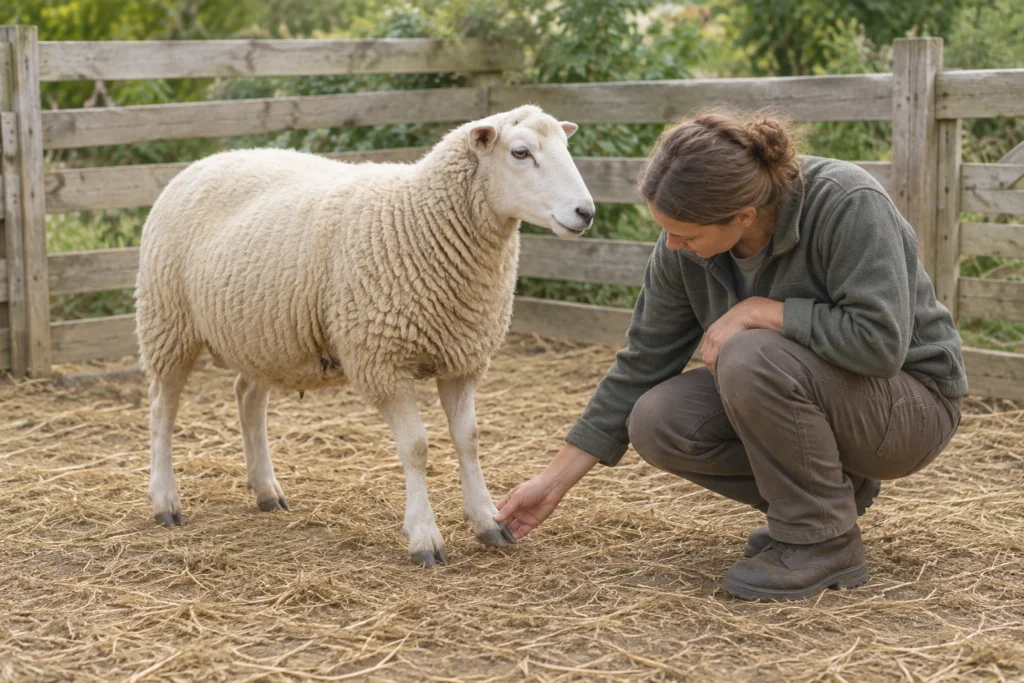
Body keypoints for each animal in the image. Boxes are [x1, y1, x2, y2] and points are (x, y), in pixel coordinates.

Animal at [135, 104, 595, 567]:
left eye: (566, 145)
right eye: (520, 152)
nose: (586, 212)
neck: (419, 218)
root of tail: (204, 161)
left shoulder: (463, 358)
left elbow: (469, 440)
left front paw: (489, 521)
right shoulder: (383, 360)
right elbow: (416, 447)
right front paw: (425, 537)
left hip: (262, 335)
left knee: (248, 397)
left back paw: (266, 491)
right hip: (167, 320)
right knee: (162, 409)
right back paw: (166, 502)